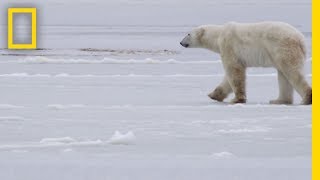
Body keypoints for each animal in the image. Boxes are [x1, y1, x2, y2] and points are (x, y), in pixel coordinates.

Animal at [181, 21, 312, 105]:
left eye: (188, 34)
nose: (181, 42)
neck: (219, 35)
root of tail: (301, 39)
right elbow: (229, 77)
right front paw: (214, 95)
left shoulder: (229, 47)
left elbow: (234, 72)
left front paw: (237, 100)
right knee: (283, 76)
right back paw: (279, 100)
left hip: (283, 48)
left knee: (292, 72)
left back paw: (306, 99)